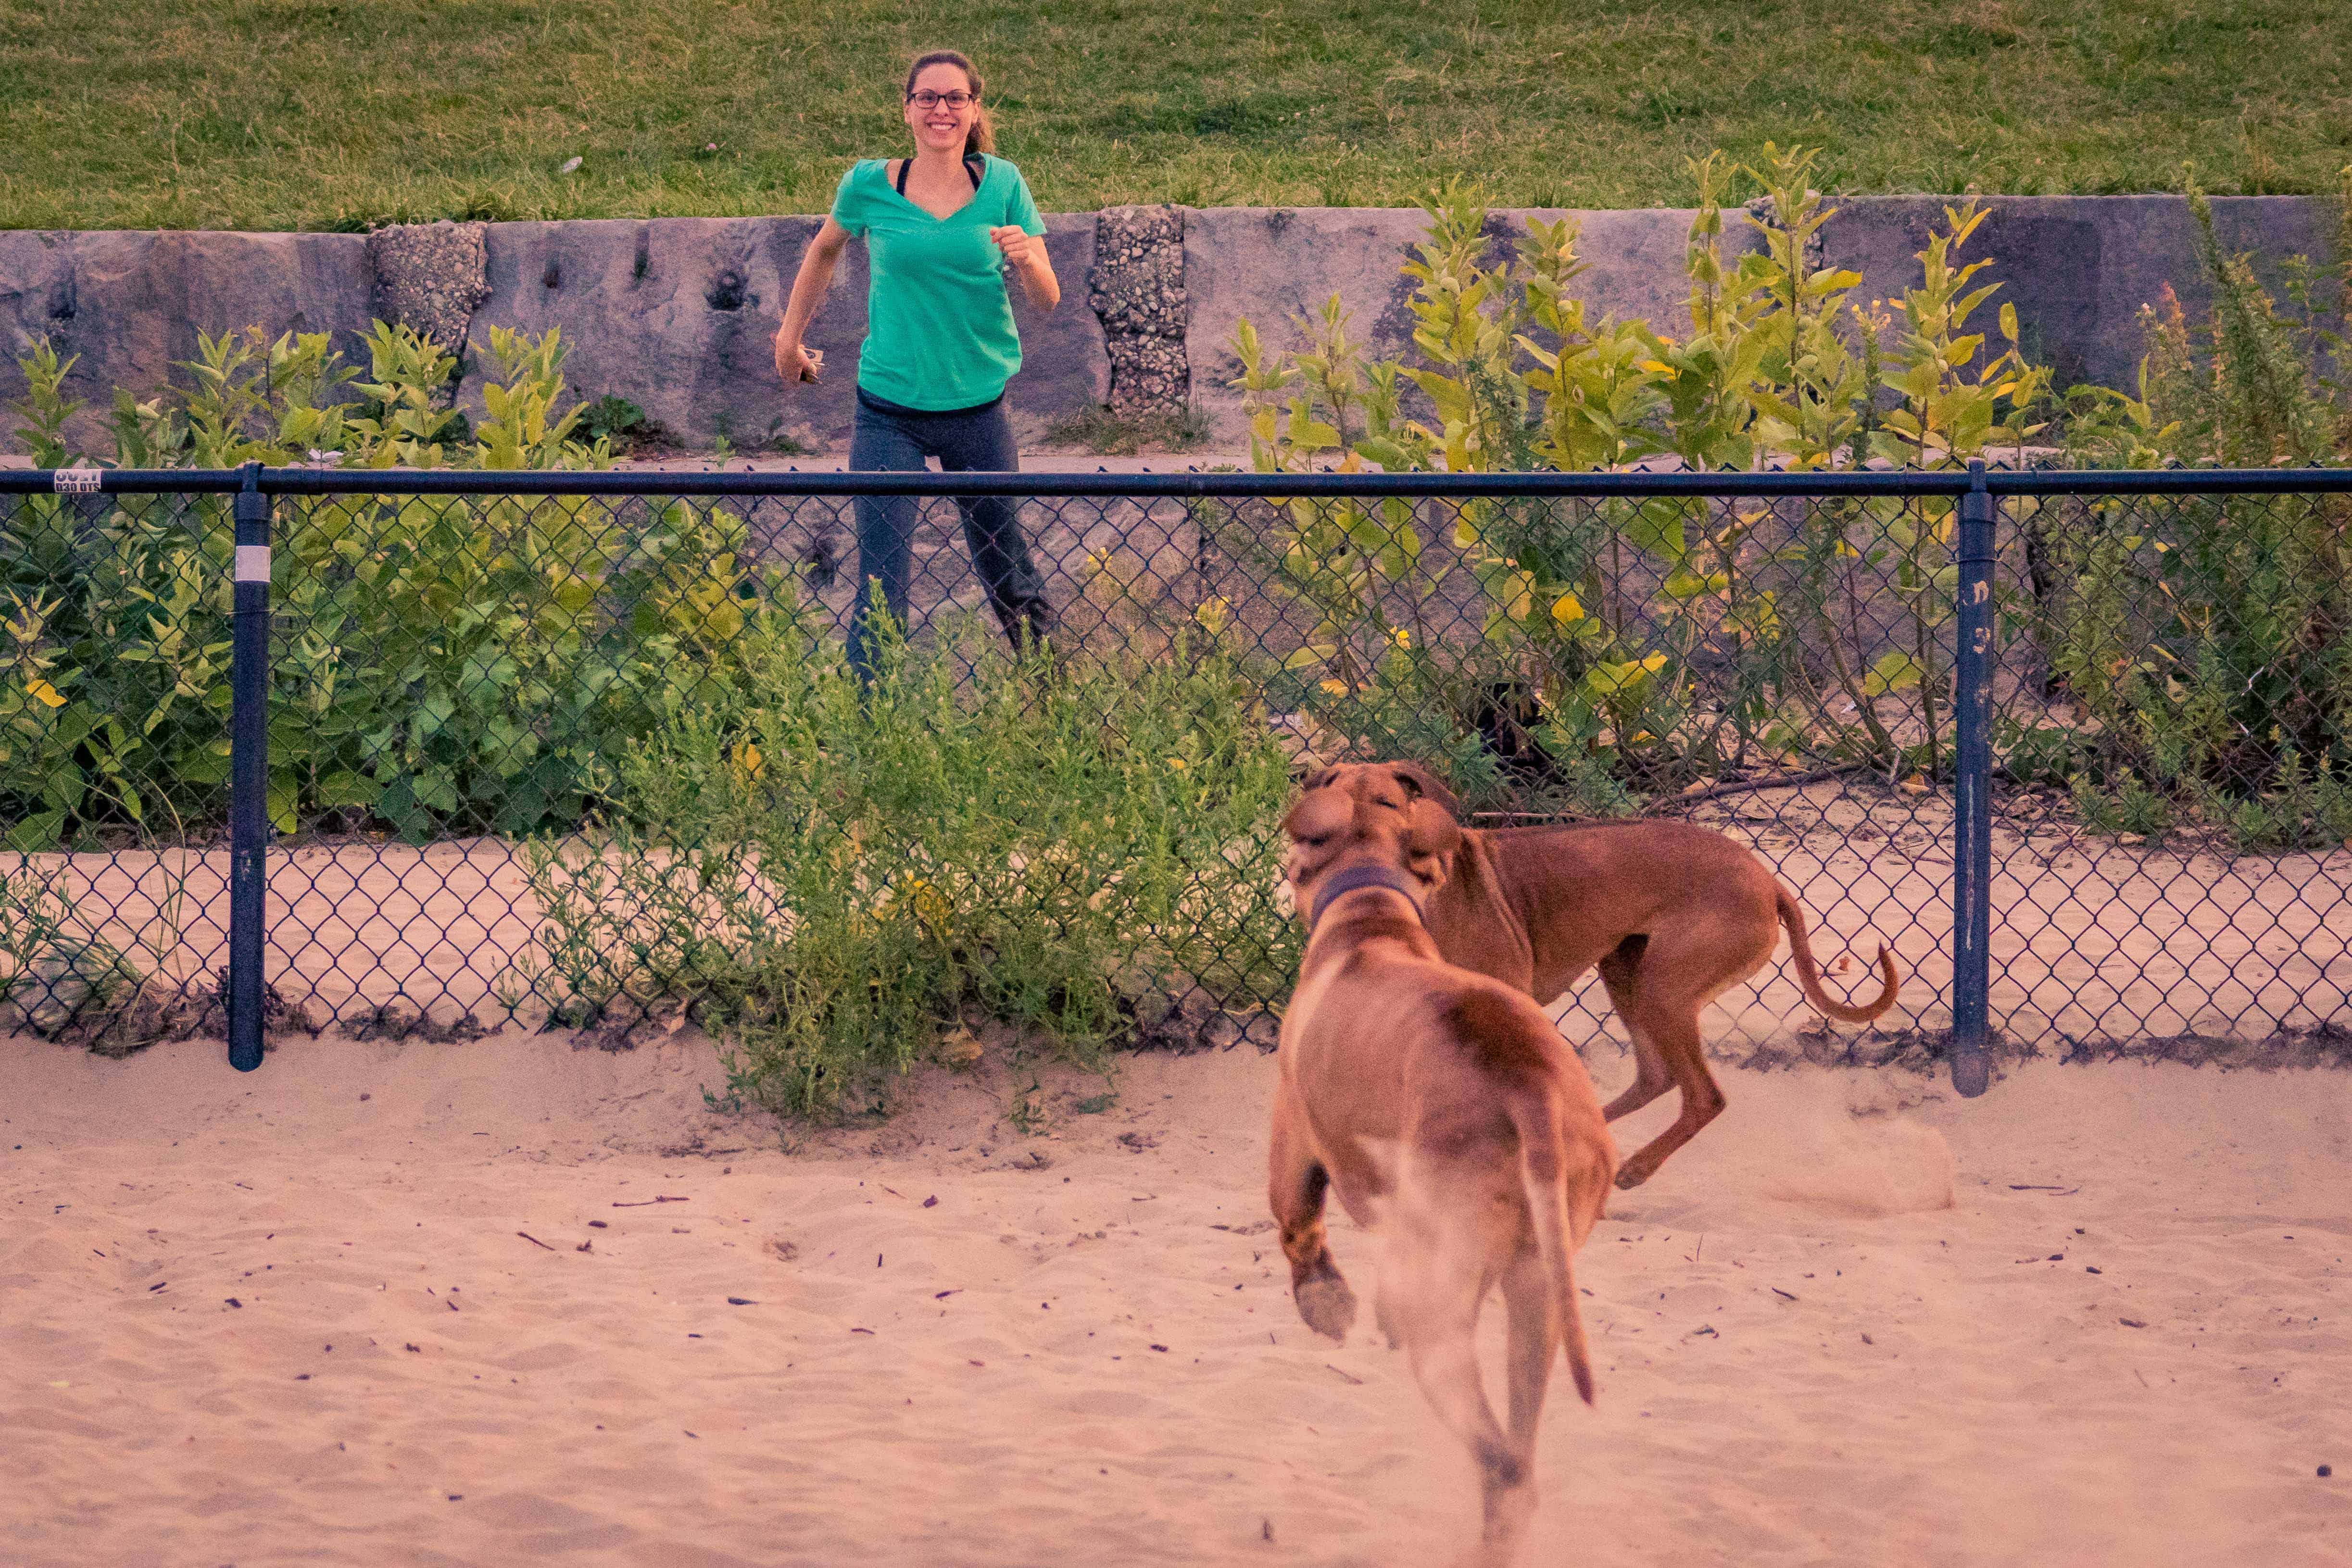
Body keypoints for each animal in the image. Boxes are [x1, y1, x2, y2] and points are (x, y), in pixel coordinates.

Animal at [1270, 766, 1618, 1561]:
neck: (1370, 909)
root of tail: (1526, 1080)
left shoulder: (1292, 1136)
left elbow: (1296, 1227)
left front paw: (1325, 1304)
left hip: (1443, 1309)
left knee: (1497, 1458)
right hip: (1537, 1290)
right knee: (1519, 1455)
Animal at [1317, 762, 1900, 1189]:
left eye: (1388, 804)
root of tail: (1765, 878)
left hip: (1664, 990)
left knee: (1703, 1095)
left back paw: (1634, 1167)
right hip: (1626, 975)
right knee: (1655, 1077)